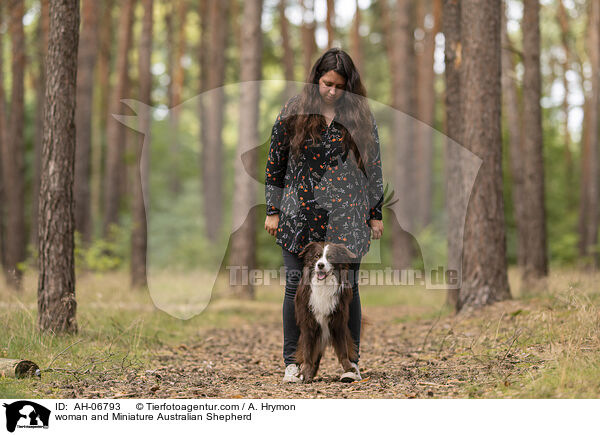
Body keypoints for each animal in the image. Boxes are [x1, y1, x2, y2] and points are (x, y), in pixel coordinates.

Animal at [294, 244, 360, 384]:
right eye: (316, 256)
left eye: (330, 257)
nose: (320, 265)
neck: (323, 285)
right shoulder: (308, 324)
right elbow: (307, 352)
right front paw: (304, 373)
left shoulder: (339, 322)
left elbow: (343, 350)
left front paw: (349, 369)